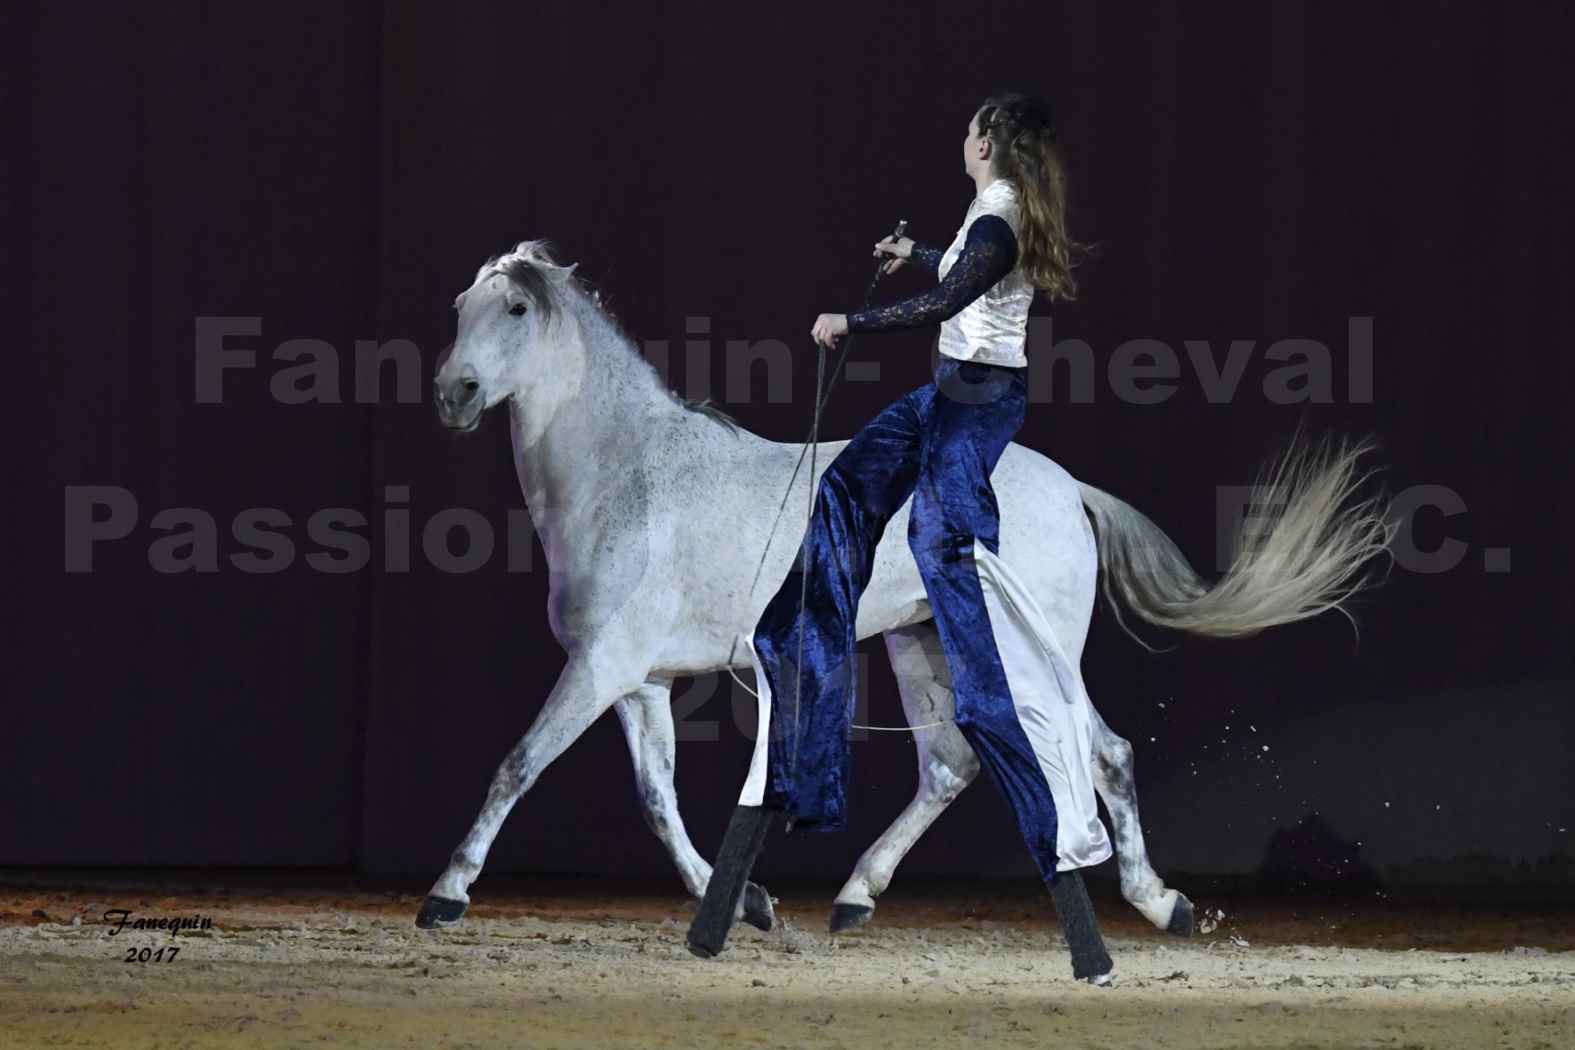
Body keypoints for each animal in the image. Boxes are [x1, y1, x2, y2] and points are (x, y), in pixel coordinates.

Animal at [415, 242, 1392, 938]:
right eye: (459, 308)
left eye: (514, 309)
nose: (453, 394)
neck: (632, 477)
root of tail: (1067, 487)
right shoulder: (640, 680)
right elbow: (658, 799)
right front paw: (748, 903)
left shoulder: (599, 667)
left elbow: (517, 766)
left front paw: (446, 894)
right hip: (919, 642)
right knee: (950, 765)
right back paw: (854, 896)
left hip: (1028, 653)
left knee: (1104, 752)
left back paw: (1164, 905)